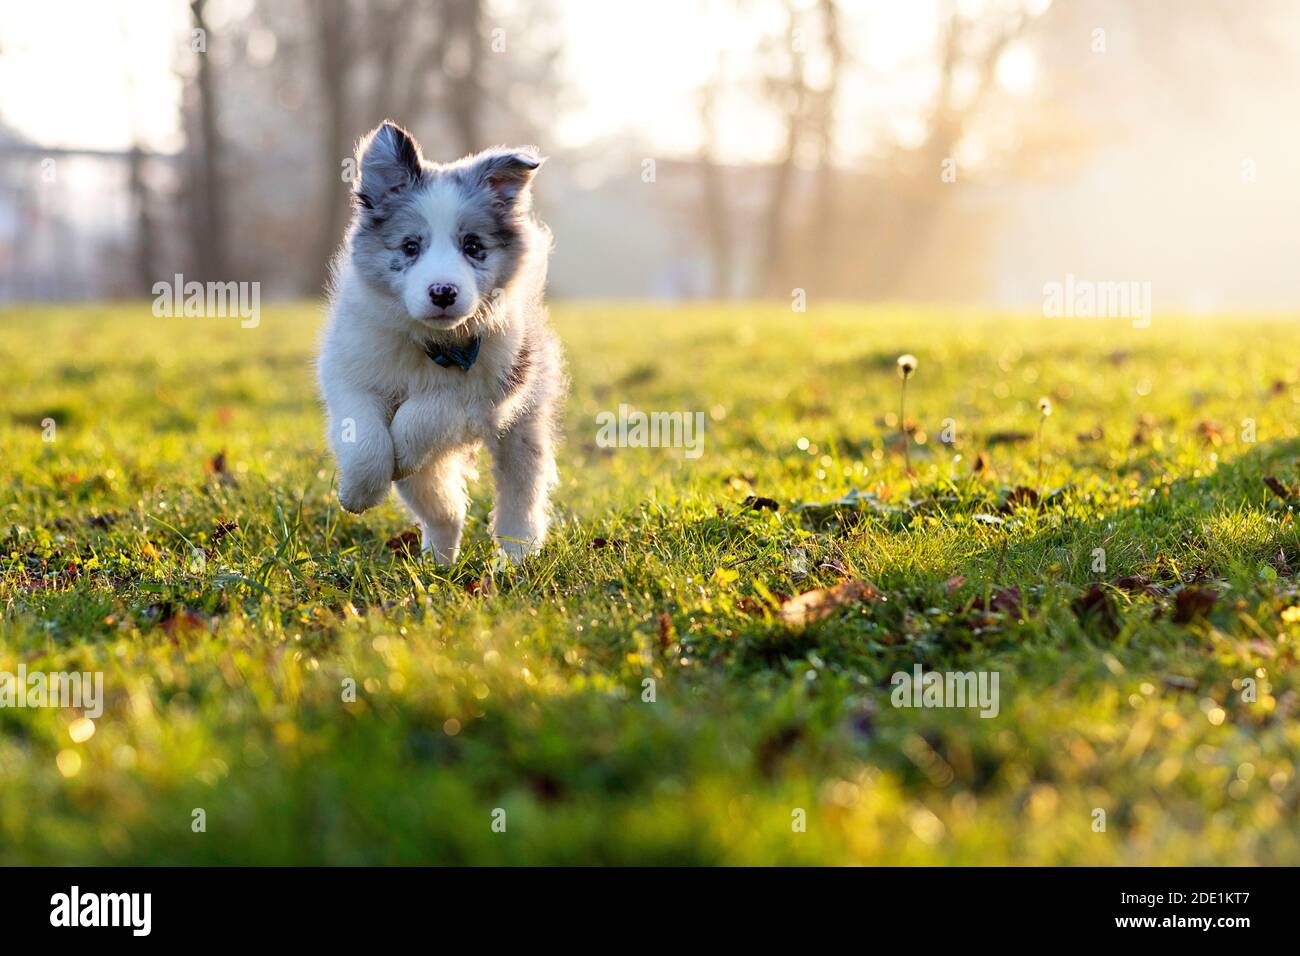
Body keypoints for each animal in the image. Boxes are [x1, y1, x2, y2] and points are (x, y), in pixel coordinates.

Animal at [318, 123, 564, 564]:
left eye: (473, 246)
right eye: (410, 247)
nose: (443, 292)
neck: (434, 343)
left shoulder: (488, 393)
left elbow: (428, 411)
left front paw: (403, 446)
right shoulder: (349, 374)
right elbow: (365, 438)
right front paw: (358, 493)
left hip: (524, 424)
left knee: (521, 495)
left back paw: (515, 557)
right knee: (444, 508)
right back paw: (439, 559)